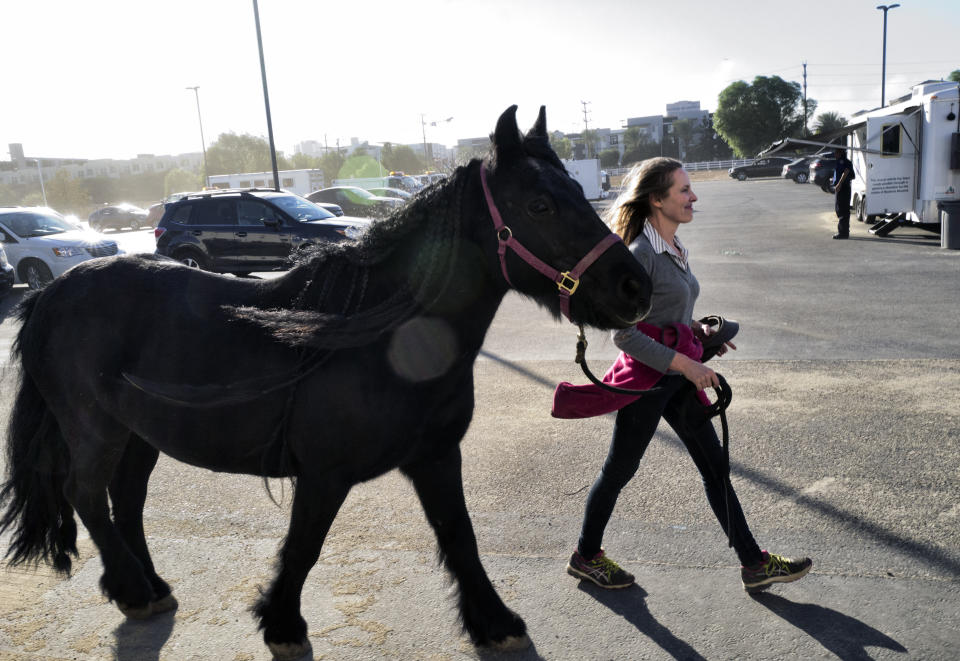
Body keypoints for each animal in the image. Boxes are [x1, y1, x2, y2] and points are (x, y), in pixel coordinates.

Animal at [0, 105, 652, 656]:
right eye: (540, 205)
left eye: (577, 192)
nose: (635, 288)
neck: (381, 340)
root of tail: (49, 293)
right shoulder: (324, 474)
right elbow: (305, 546)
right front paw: (281, 623)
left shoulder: (436, 457)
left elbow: (459, 537)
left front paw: (493, 622)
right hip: (95, 430)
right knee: (87, 495)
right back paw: (133, 590)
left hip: (140, 435)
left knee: (126, 499)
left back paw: (149, 585)